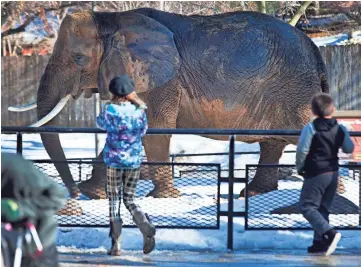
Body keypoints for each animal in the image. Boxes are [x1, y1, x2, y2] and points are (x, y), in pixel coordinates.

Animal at [9, 8, 328, 200]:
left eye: (78, 59)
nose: (72, 194)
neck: (111, 19)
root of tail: (314, 48)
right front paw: (93, 193)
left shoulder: (160, 80)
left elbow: (154, 129)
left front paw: (162, 198)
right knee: (272, 144)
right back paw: (254, 194)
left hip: (296, 90)